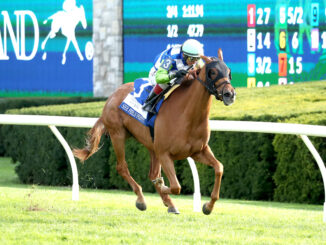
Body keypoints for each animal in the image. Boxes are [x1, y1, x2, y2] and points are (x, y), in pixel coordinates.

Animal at [73, 49, 236, 214]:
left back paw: (169, 203)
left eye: (228, 71)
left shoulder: (198, 151)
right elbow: (176, 186)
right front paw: (163, 187)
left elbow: (219, 168)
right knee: (122, 167)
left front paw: (208, 206)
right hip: (117, 134)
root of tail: (111, 96)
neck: (188, 116)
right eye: (213, 72)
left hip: (152, 146)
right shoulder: (165, 153)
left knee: (152, 173)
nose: (230, 94)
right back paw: (141, 199)